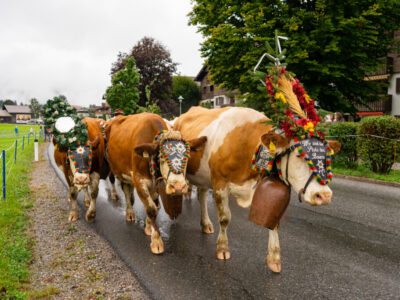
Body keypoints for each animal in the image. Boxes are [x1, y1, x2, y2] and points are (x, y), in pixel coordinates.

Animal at [106, 112, 206, 253]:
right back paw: (129, 213)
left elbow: (153, 203)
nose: (178, 187)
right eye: (162, 157)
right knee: (125, 190)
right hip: (120, 171)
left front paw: (148, 227)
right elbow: (151, 209)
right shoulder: (138, 180)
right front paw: (156, 241)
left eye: (187, 157)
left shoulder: (154, 183)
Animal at [173, 106, 340, 274]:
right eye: (299, 155)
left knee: (201, 195)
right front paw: (222, 248)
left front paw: (274, 259)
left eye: (328, 157)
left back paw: (206, 224)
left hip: (203, 176)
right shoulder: (220, 182)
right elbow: (225, 218)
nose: (324, 195)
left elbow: (274, 222)